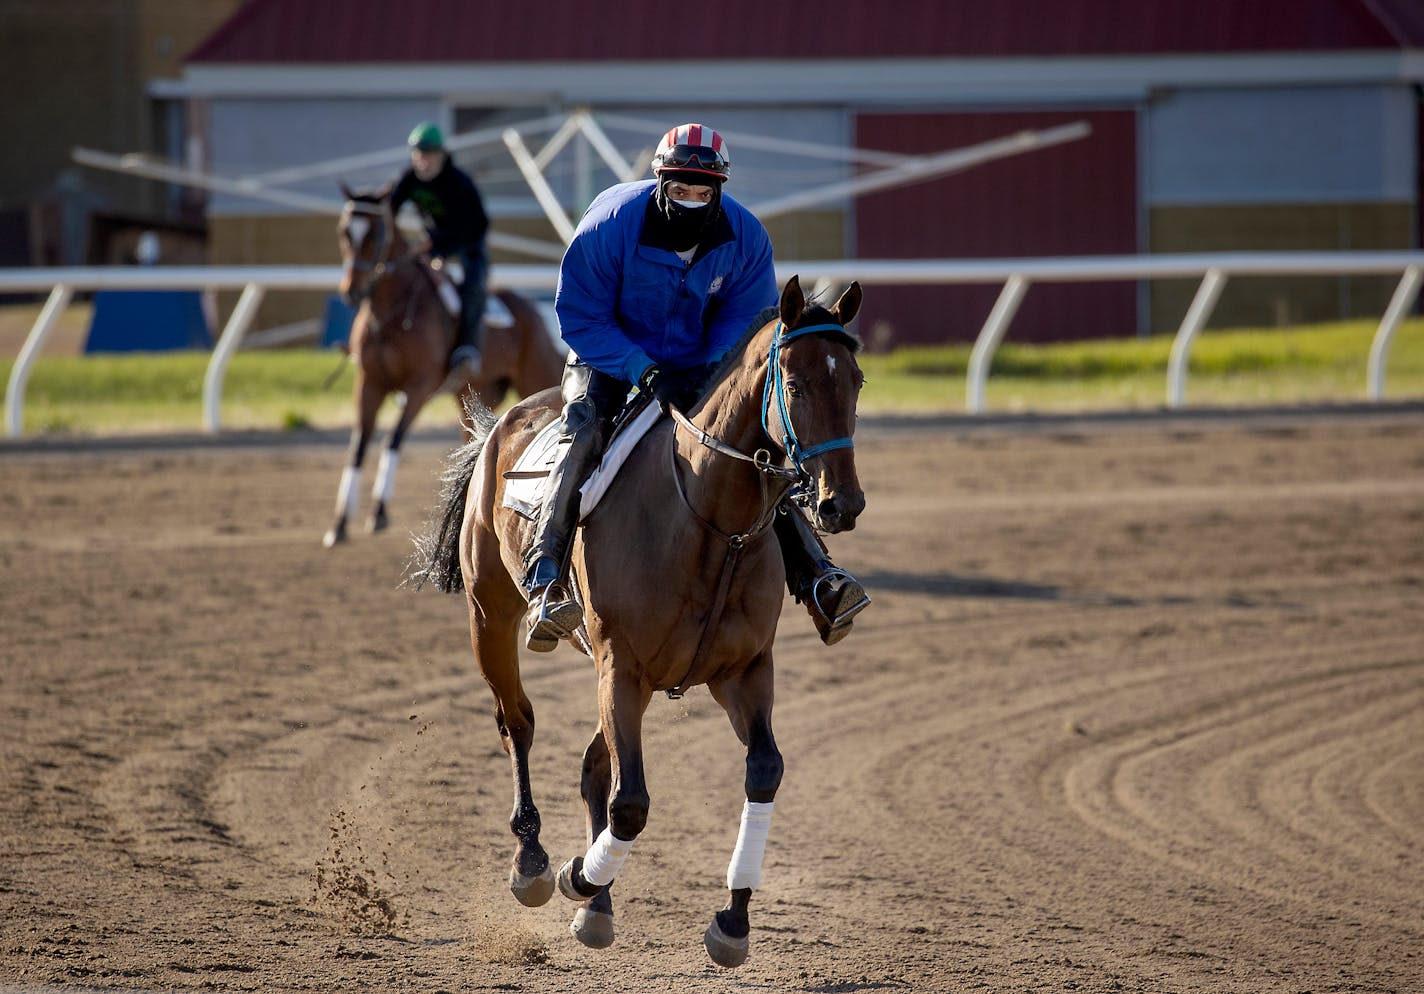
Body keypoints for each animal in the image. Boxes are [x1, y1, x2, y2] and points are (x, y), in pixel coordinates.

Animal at [326, 182, 563, 546]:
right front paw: (339, 524)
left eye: (375, 232)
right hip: (471, 395)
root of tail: (532, 310)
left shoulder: (419, 385)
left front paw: (379, 512)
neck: (393, 312)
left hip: (537, 373)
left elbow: (393, 438)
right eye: (344, 231)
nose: (351, 290)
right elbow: (359, 446)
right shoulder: (369, 383)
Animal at [412, 274, 865, 962]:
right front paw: (577, 876)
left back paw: (596, 900)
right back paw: (534, 860)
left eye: (857, 381)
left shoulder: (742, 671)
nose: (843, 503)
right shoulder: (620, 666)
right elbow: (631, 804)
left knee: (593, 765)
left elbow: (763, 772)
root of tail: (499, 426)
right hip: (490, 614)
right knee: (518, 721)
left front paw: (732, 921)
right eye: (795, 382)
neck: (711, 523)